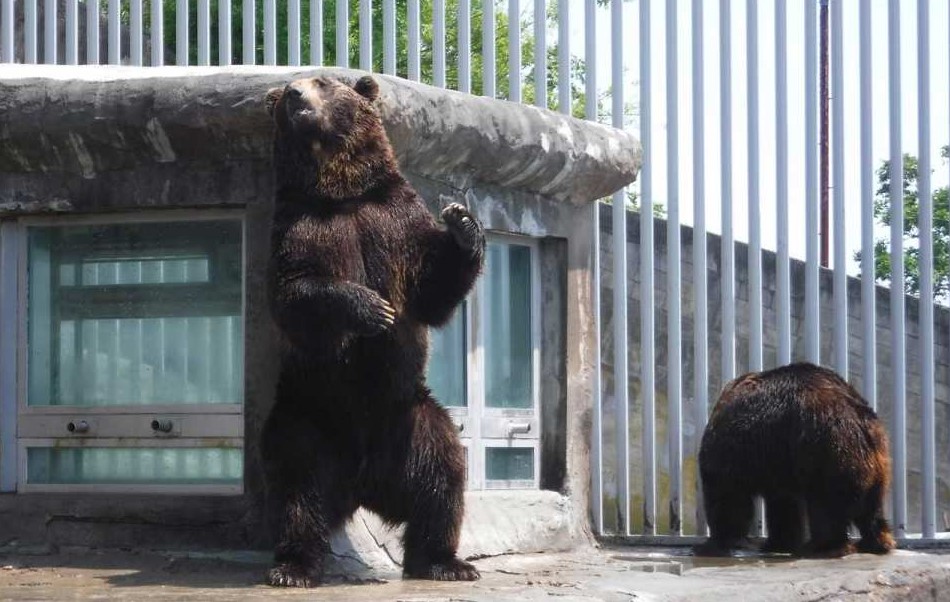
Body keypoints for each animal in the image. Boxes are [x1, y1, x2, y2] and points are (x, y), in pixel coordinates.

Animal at [260, 74, 485, 587]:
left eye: (323, 82)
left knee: (442, 474)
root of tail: (363, 483)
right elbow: (295, 291)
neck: (341, 193)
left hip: (409, 418)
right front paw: (371, 308)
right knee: (297, 484)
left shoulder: (395, 219)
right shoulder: (297, 225)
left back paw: (445, 561)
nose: (294, 95)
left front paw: (463, 223)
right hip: (308, 414)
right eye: (288, 87)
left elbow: (431, 288)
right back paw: (293, 565)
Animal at [695, 362, 894, 558]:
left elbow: (727, 494)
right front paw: (779, 542)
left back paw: (823, 546)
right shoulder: (778, 462)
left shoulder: (735, 452)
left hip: (827, 449)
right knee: (872, 506)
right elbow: (784, 503)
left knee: (825, 504)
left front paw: (715, 542)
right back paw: (877, 541)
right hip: (876, 458)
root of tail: (858, 420)